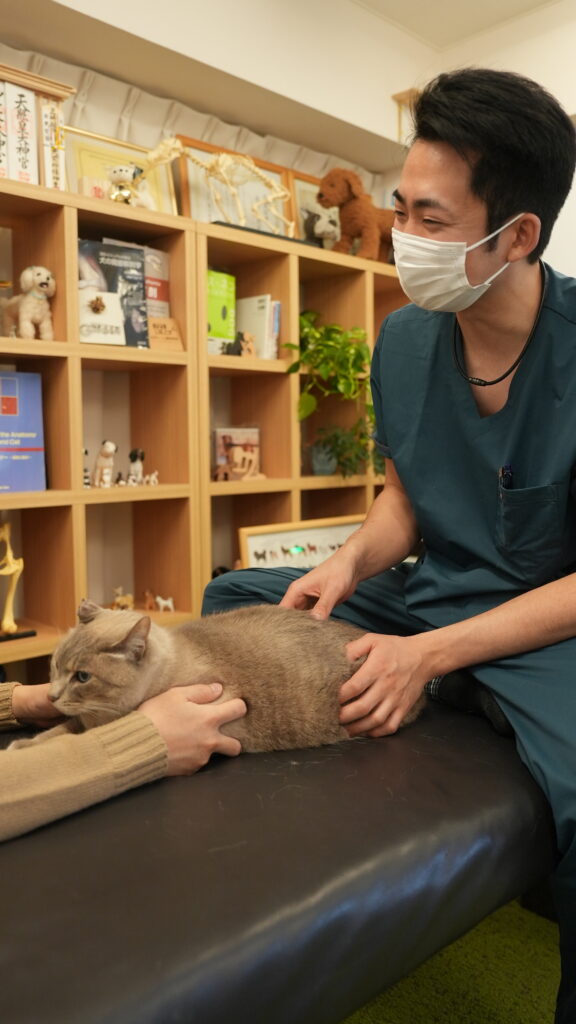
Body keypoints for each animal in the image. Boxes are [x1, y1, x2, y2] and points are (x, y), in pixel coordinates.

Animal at [10, 599, 426, 753]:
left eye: (82, 677)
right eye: (54, 667)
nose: (51, 696)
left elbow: (72, 739)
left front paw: (24, 748)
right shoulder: (85, 720)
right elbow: (63, 732)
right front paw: (25, 745)